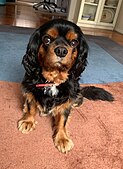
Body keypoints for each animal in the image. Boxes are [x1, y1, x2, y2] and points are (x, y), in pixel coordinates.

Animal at [17, 18, 114, 153]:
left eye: (74, 42)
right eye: (47, 39)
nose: (61, 51)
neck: (53, 80)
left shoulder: (67, 99)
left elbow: (63, 120)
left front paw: (62, 138)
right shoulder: (30, 88)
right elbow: (31, 106)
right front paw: (28, 120)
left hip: (77, 92)